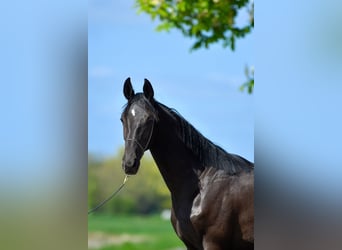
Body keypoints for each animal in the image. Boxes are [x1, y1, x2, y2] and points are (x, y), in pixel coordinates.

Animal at [120, 78, 254, 250]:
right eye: (122, 119)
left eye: (149, 119)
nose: (130, 163)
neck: (199, 188)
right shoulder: (190, 245)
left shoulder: (214, 244)